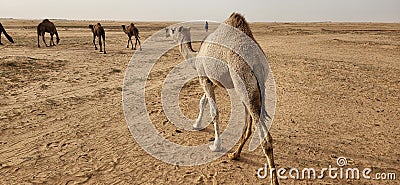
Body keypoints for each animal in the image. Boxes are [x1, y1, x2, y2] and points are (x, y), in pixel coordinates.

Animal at [173, 12, 280, 184]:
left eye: (175, 30)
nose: (169, 31)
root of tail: (257, 59)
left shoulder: (204, 77)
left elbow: (214, 111)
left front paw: (216, 145)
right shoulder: (214, 80)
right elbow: (202, 101)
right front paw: (196, 124)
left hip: (242, 79)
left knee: (264, 136)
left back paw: (272, 179)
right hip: (252, 87)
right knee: (249, 123)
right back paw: (235, 154)